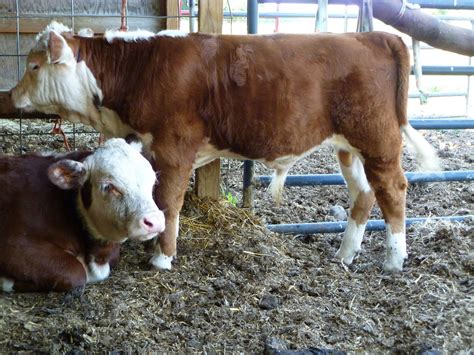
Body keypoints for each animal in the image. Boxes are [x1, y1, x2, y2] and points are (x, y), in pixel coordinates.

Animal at [0, 139, 164, 292]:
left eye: (152, 182)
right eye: (108, 186)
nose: (155, 221)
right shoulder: (14, 244)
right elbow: (76, 272)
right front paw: (6, 281)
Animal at [11, 22, 440, 272]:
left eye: (34, 66)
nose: (12, 95)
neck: (142, 69)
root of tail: (372, 35)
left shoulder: (174, 147)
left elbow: (169, 201)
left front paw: (162, 258)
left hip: (377, 139)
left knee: (393, 189)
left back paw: (394, 259)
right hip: (347, 146)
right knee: (364, 193)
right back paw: (345, 254)